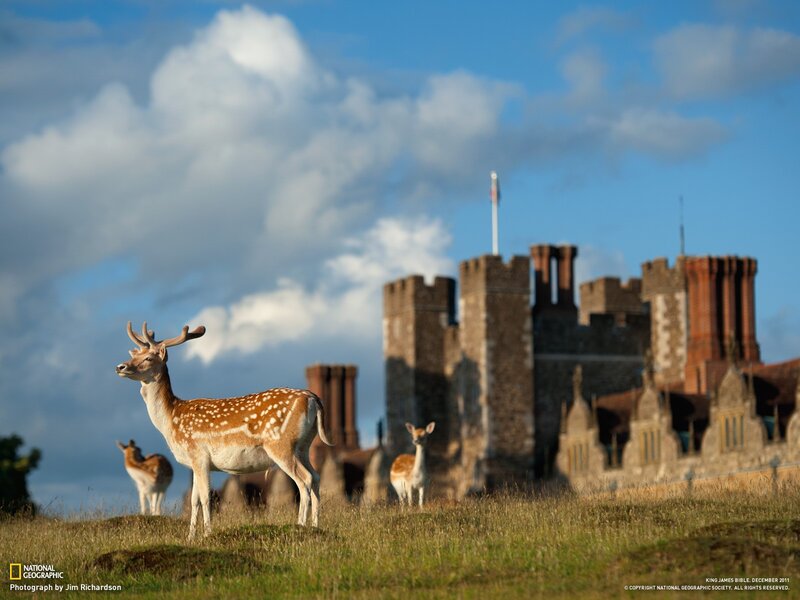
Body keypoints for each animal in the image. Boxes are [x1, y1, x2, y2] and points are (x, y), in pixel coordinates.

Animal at [115, 322, 333, 539]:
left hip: (281, 444)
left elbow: (205, 497)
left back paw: (300, 526)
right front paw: (191, 537)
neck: (171, 420)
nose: (120, 367)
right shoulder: (194, 463)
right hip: (303, 446)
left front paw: (207, 534)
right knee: (316, 477)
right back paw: (315, 526)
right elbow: (194, 499)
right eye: (135, 355)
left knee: (304, 480)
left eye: (148, 358)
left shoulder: (199, 454)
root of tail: (312, 398)